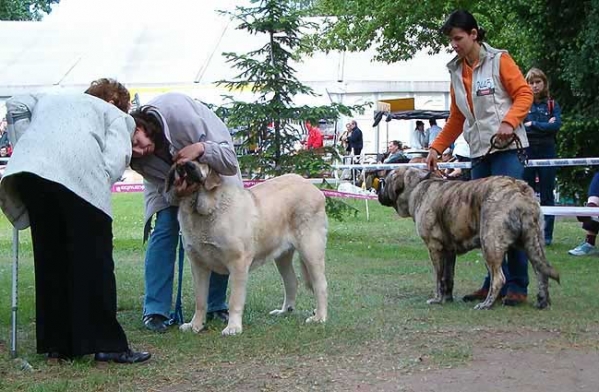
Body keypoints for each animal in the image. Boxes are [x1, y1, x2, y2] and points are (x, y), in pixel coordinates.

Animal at [166, 161, 330, 336]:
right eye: (180, 163)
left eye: (201, 159)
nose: (187, 165)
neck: (205, 211)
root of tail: (312, 186)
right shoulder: (198, 265)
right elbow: (200, 300)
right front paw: (195, 325)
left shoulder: (238, 262)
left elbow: (234, 300)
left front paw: (233, 327)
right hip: (283, 256)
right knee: (291, 282)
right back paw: (284, 311)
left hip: (311, 249)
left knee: (320, 284)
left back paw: (319, 317)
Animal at [380, 167, 564, 310]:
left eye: (384, 182)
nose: (378, 189)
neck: (417, 186)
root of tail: (519, 188)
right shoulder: (449, 251)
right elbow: (448, 277)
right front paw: (447, 298)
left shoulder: (434, 247)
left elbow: (438, 277)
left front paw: (437, 299)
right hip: (532, 242)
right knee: (541, 272)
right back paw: (542, 301)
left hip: (489, 243)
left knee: (499, 278)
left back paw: (486, 304)